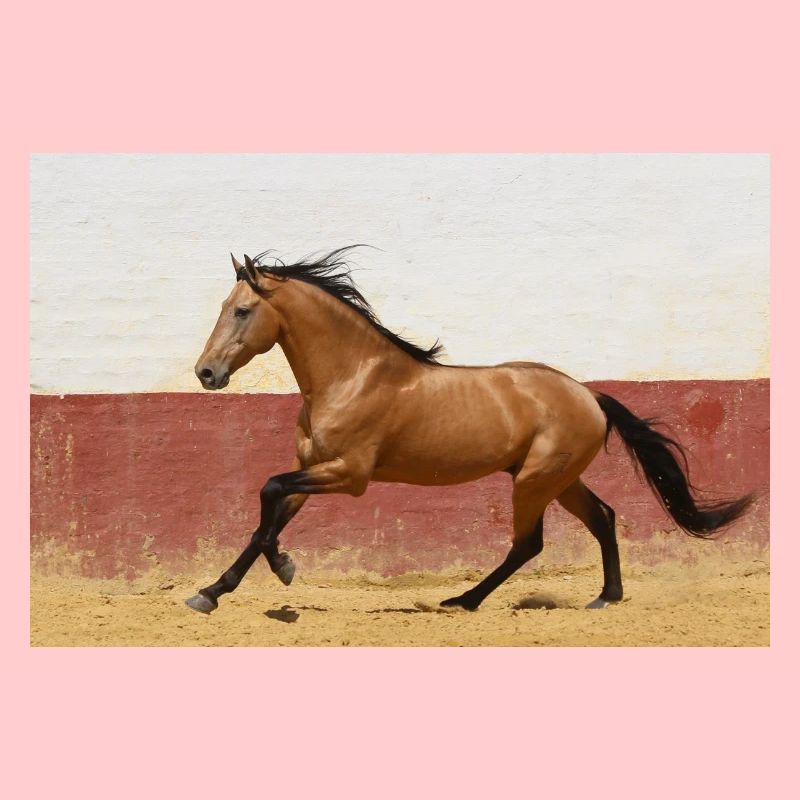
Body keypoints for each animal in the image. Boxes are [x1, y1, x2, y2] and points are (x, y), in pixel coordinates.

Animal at [185, 247, 752, 614]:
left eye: (242, 311)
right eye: (223, 308)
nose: (206, 373)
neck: (352, 375)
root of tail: (589, 395)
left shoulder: (349, 475)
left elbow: (267, 494)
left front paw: (276, 569)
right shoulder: (312, 467)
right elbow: (267, 518)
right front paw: (215, 590)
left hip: (534, 482)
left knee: (529, 544)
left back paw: (464, 599)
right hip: (558, 480)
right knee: (604, 517)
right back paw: (604, 598)